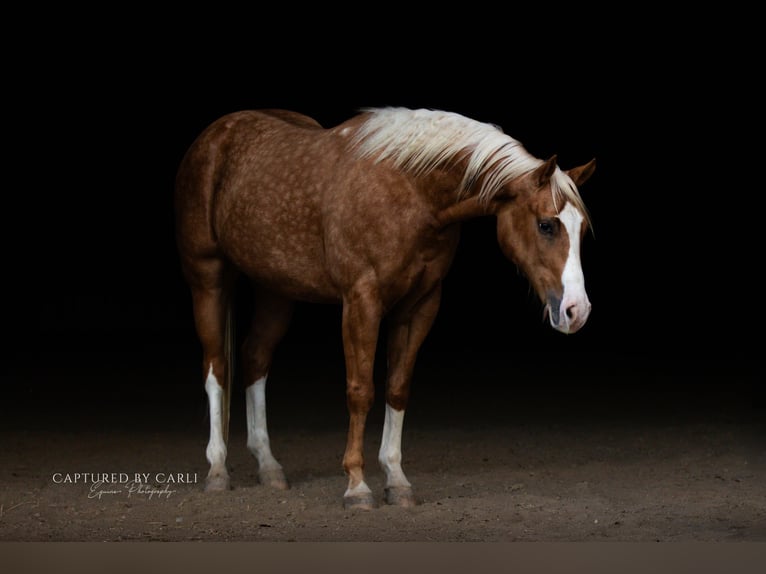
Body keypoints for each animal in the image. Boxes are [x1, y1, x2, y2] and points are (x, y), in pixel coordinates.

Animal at [174, 106, 595, 510]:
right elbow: (361, 391)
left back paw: (269, 466)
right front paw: (357, 487)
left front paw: (397, 480)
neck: (411, 189)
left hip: (275, 289)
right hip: (208, 276)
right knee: (216, 365)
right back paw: (217, 469)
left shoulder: (420, 305)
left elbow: (397, 388)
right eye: (546, 225)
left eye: (581, 229)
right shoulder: (362, 300)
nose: (577, 310)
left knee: (255, 358)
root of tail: (217, 134)